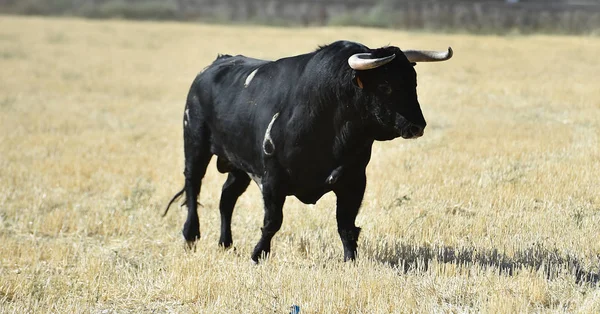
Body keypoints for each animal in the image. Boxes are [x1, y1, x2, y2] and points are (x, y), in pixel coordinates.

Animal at [166, 41, 452, 262]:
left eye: (413, 83)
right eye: (386, 86)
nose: (417, 126)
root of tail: (214, 65)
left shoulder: (353, 180)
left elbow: (346, 224)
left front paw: (351, 259)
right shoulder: (272, 179)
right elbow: (273, 221)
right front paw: (258, 255)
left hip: (238, 165)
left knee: (226, 198)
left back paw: (225, 243)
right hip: (195, 144)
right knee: (193, 186)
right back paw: (190, 235)